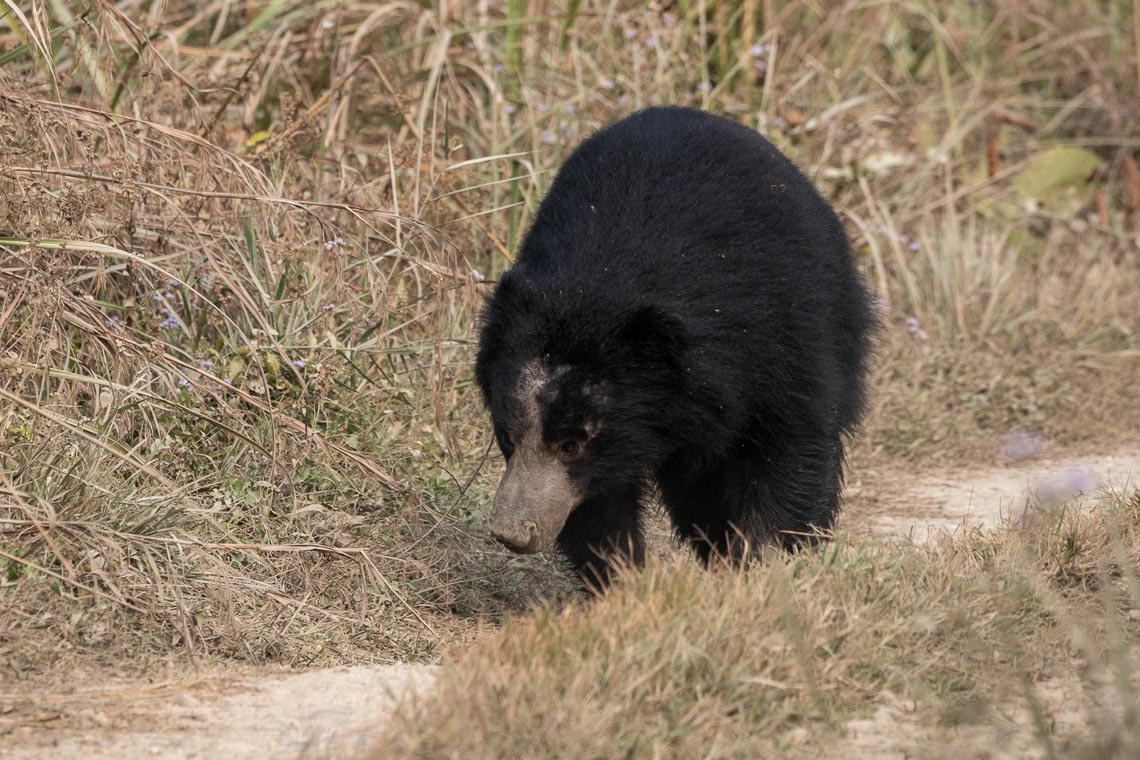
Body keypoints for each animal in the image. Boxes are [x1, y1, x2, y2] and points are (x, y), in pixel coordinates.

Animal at [471, 105, 870, 587]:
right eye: (506, 435)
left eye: (572, 444)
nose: (514, 533)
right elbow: (600, 509)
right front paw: (624, 581)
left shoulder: (782, 341)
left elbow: (793, 450)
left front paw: (764, 565)